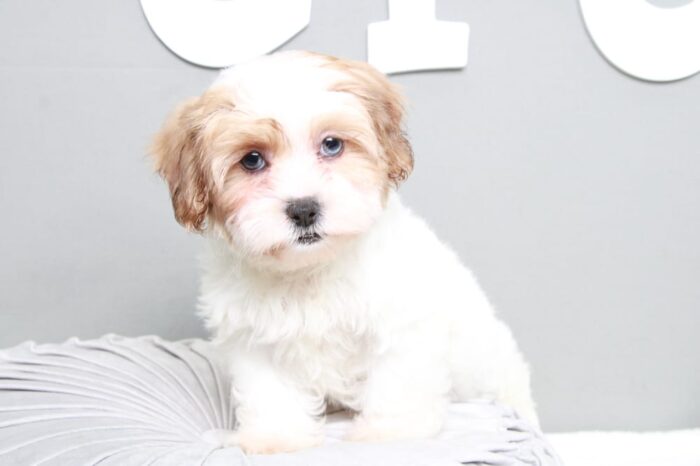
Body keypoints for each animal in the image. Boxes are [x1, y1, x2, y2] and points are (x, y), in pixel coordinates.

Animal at [152, 52, 536, 456]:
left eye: (332, 145)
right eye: (252, 160)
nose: (304, 209)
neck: (310, 270)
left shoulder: (400, 324)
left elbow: (397, 383)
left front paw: (390, 435)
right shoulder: (256, 344)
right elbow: (271, 395)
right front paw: (276, 440)